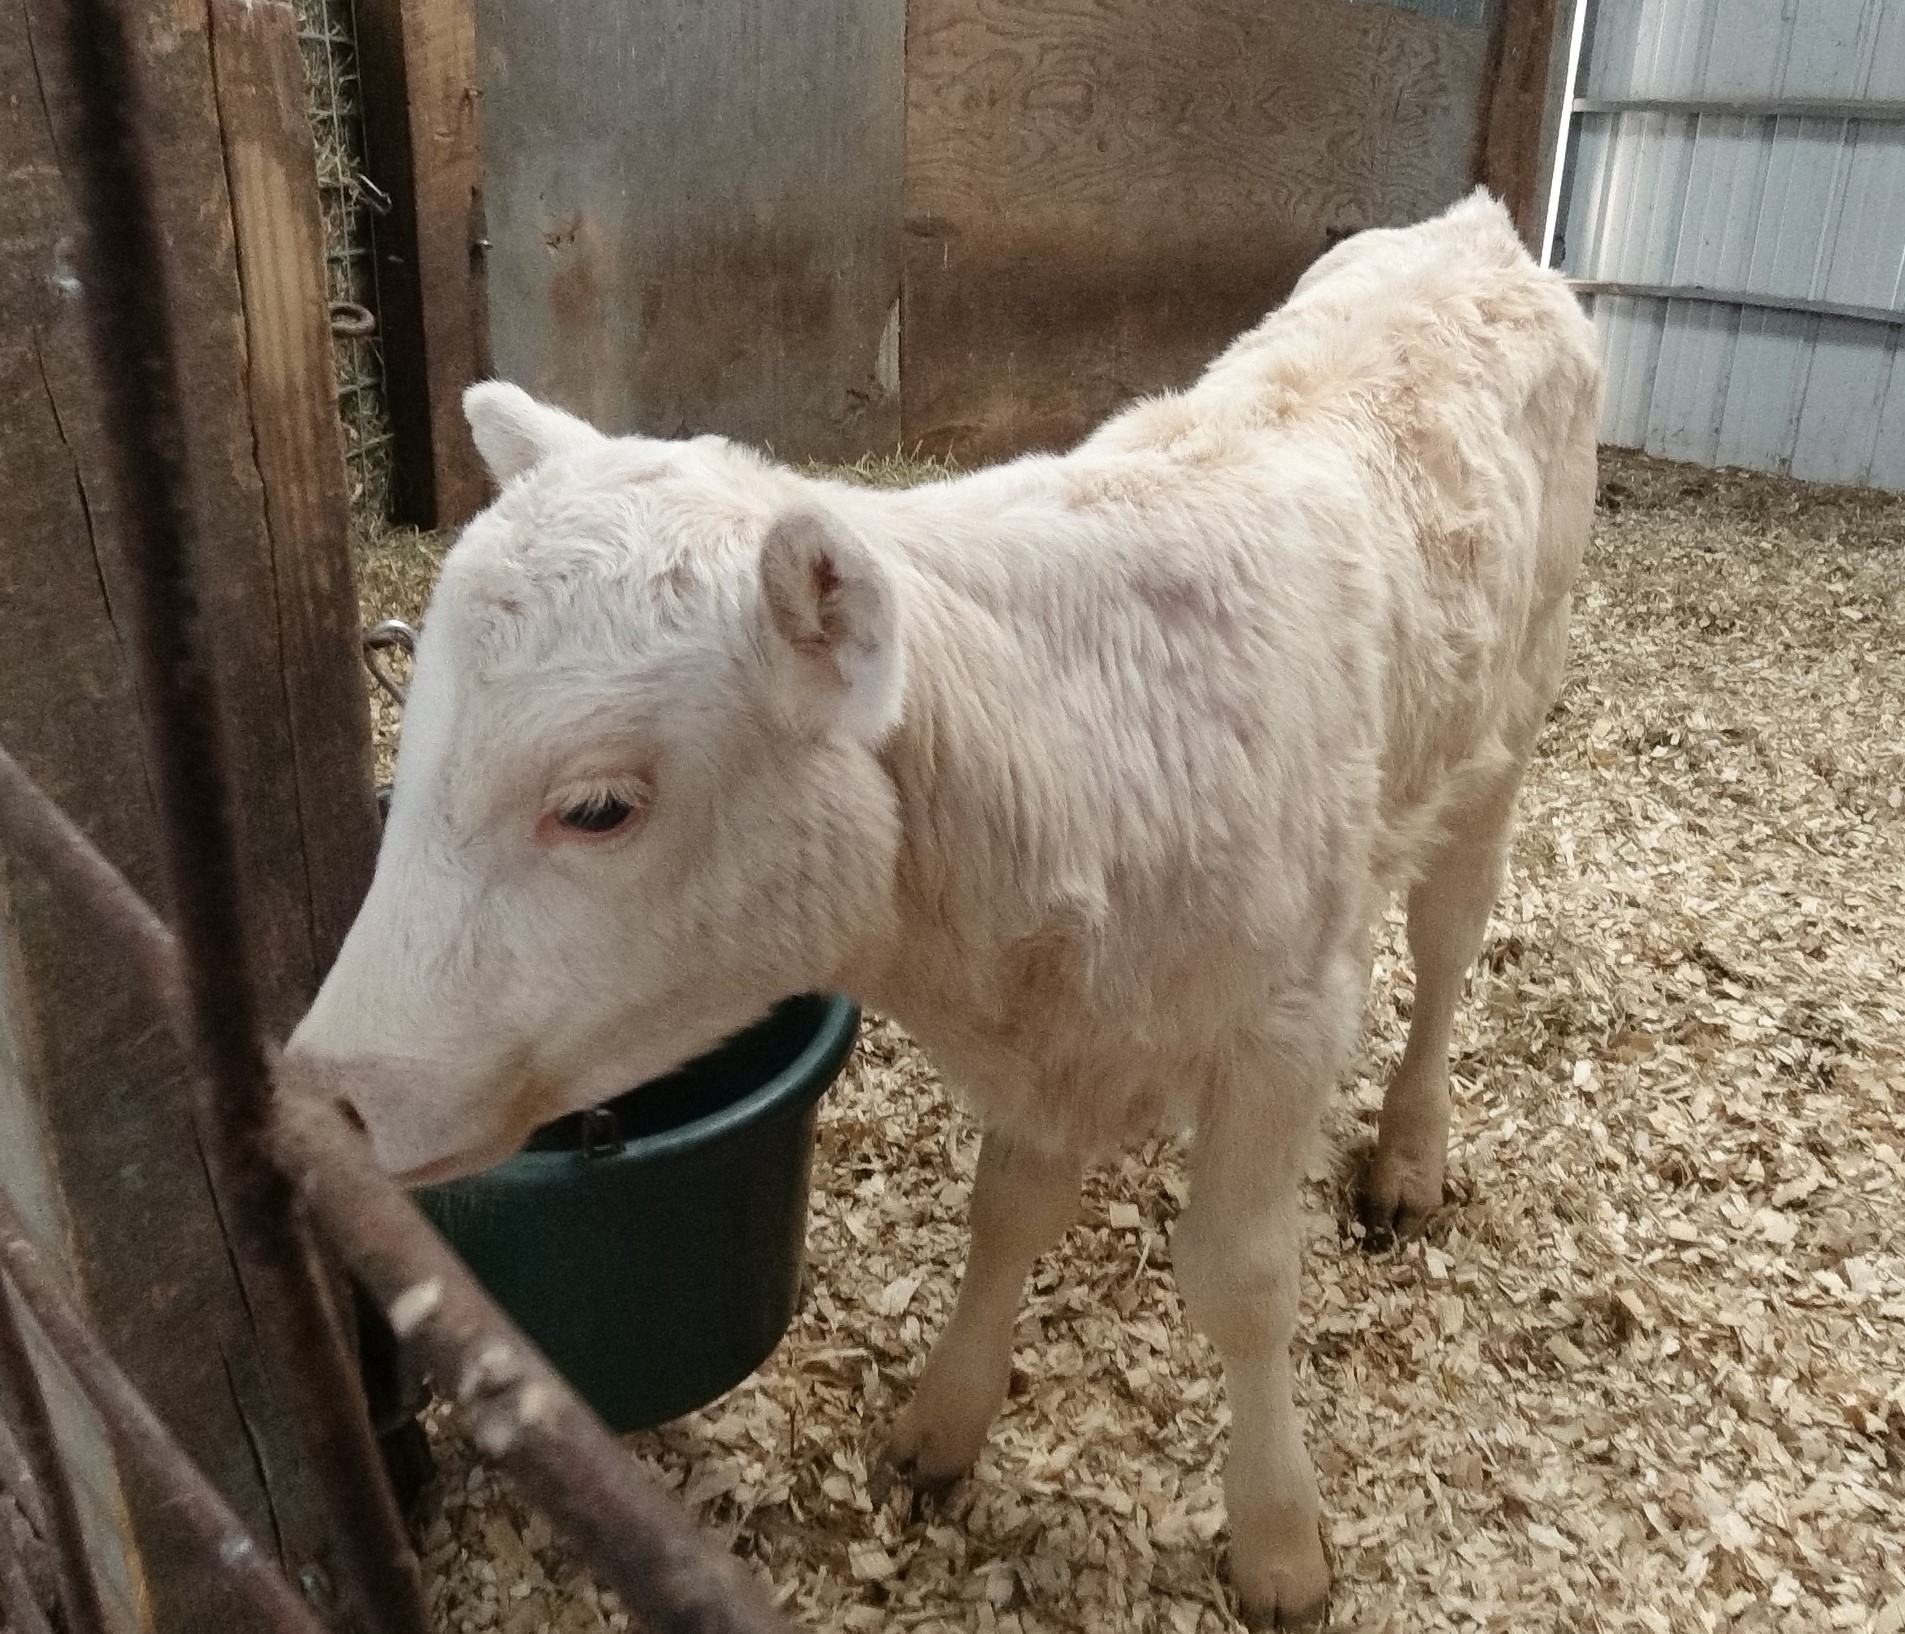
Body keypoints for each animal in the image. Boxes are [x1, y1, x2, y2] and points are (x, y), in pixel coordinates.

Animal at [288, 189, 1602, 1627]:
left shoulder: (1288, 1015)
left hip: (1509, 721)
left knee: (1450, 937)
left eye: (596, 806)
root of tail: (1471, 225)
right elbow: (1007, 1209)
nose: (328, 1089)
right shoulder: (1054, 1032)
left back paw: (1411, 1152)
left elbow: (1244, 1278)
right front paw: (944, 1422)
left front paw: (1276, 1538)